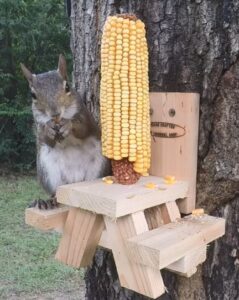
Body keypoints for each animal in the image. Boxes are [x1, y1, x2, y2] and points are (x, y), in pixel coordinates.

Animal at [20, 54, 110, 209]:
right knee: (56, 192)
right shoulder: (38, 124)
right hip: (48, 172)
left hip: (98, 166)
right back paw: (47, 201)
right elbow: (45, 138)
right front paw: (49, 129)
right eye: (33, 95)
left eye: (67, 87)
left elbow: (83, 129)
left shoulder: (85, 116)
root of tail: (74, 181)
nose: (55, 113)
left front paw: (68, 125)